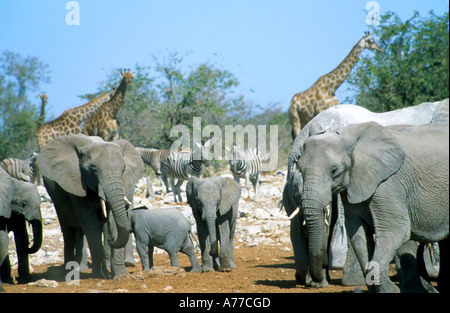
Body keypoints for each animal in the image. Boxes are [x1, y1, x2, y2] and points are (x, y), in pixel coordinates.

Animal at [39, 134, 145, 278]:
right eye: (93, 170)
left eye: (123, 170)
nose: (111, 238)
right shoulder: (77, 182)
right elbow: (89, 222)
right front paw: (100, 275)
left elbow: (112, 220)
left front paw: (121, 275)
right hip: (55, 196)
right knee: (69, 231)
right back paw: (71, 271)